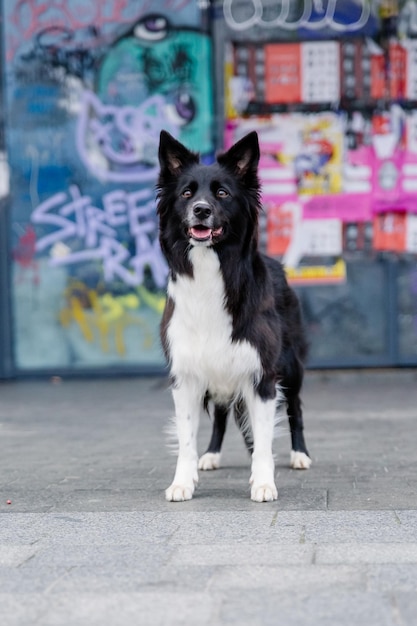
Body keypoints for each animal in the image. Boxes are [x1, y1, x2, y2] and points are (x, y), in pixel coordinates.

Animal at [155, 129, 308, 500]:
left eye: (222, 193)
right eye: (186, 193)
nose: (201, 210)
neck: (211, 269)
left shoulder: (261, 375)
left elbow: (265, 438)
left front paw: (264, 482)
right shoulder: (187, 374)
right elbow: (186, 437)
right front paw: (183, 481)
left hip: (291, 365)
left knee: (295, 408)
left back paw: (300, 455)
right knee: (223, 415)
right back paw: (211, 455)